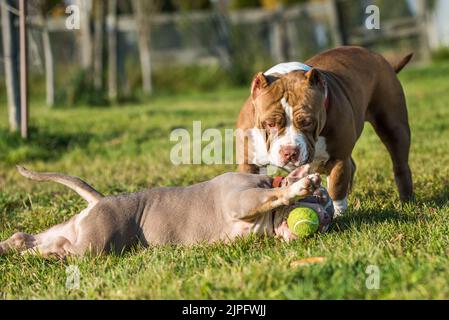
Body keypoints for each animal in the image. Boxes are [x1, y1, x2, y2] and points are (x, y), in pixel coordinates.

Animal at [0, 166, 328, 258]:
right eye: (321, 198)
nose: (327, 219)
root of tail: (100, 200)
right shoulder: (242, 199)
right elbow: (271, 195)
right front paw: (299, 186)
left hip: (75, 232)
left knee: (31, 238)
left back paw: (13, 247)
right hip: (92, 245)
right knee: (58, 249)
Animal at [236, 45, 414, 215]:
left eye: (307, 122)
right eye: (270, 124)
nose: (289, 152)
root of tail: (375, 55)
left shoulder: (338, 159)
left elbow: (336, 189)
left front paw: (339, 215)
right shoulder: (249, 163)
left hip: (393, 126)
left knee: (400, 163)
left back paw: (407, 200)